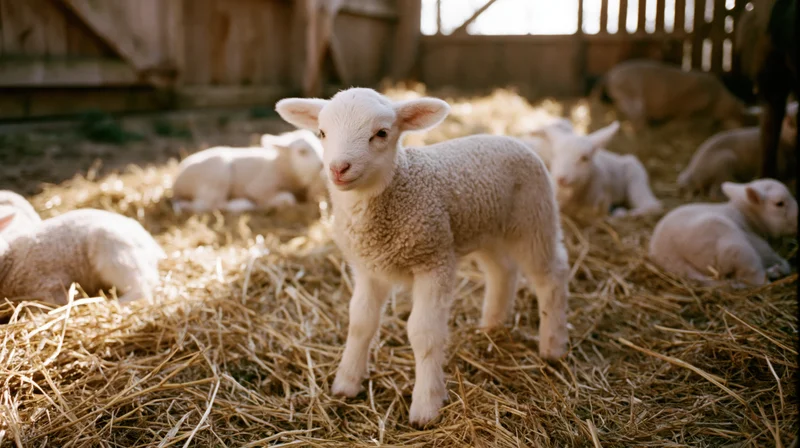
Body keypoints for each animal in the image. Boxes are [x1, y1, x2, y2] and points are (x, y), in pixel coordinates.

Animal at [171, 129, 325, 214]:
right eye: (302, 152)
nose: (322, 164)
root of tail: (176, 183)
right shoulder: (258, 187)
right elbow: (288, 198)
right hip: (217, 175)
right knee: (208, 205)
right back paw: (242, 205)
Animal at [275, 87, 571, 426]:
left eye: (381, 133)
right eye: (322, 133)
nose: (338, 168)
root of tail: (510, 138)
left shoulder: (434, 260)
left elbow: (423, 332)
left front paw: (426, 406)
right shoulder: (369, 268)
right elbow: (360, 322)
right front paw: (346, 383)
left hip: (534, 219)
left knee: (551, 275)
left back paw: (553, 346)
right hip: (486, 230)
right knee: (503, 271)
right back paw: (491, 327)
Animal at [592, 59, 752, 130]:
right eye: (740, 111)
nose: (746, 123)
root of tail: (609, 75)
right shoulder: (690, 105)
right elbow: (683, 119)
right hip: (632, 95)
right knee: (636, 114)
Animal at [648, 178, 797, 288]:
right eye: (779, 203)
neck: (746, 217)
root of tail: (670, 256)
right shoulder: (761, 248)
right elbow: (784, 263)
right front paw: (781, 268)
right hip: (736, 247)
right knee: (754, 279)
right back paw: (772, 275)